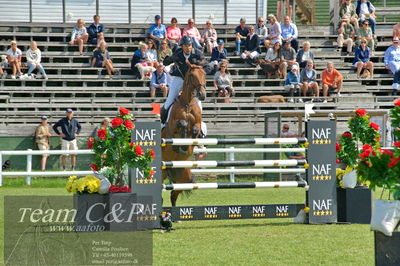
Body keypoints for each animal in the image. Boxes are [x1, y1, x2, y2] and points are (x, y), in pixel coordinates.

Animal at [162, 66, 206, 206]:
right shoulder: (171, 127)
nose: (202, 95)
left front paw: (186, 144)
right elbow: (182, 123)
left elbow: (195, 129)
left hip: (184, 177)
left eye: (204, 74)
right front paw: (182, 140)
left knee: (173, 193)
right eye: (192, 76)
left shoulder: (197, 124)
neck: (187, 104)